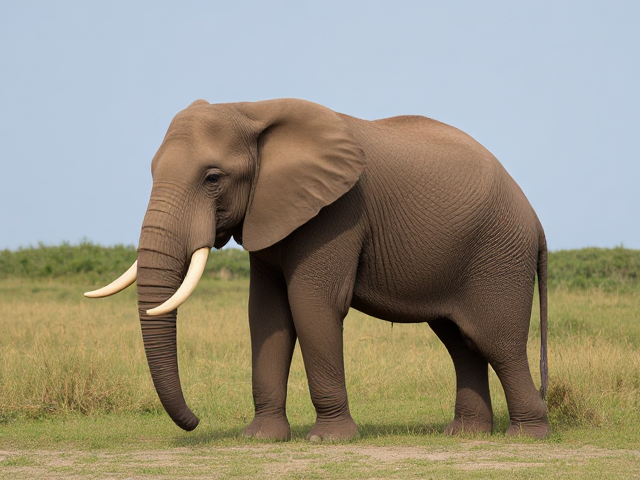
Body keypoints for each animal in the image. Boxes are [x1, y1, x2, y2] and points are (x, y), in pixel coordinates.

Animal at [85, 98, 549, 441]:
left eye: (213, 178)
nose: (196, 420)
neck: (251, 110)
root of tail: (536, 218)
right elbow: (266, 314)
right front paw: (260, 439)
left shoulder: (337, 212)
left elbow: (312, 305)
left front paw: (329, 440)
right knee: (460, 341)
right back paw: (465, 435)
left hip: (498, 255)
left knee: (498, 342)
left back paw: (526, 436)